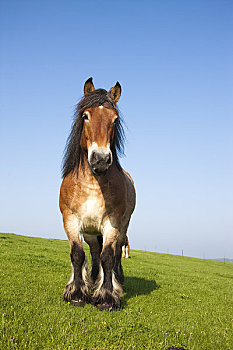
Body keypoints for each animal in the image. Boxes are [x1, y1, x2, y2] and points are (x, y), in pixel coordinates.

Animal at [59, 78, 136, 310]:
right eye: (86, 116)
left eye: (115, 119)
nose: (101, 159)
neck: (93, 185)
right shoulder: (71, 221)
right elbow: (78, 255)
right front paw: (77, 293)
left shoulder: (112, 224)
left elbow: (108, 257)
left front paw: (107, 296)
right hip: (91, 232)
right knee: (93, 252)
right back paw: (92, 280)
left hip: (122, 228)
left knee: (116, 252)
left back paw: (117, 281)